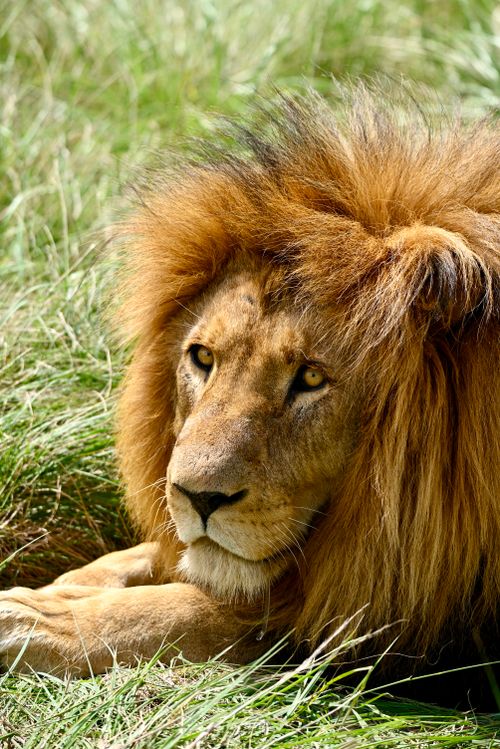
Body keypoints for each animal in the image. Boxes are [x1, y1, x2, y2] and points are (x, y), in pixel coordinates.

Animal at [0, 85, 498, 704]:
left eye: (310, 378)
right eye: (203, 358)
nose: (197, 498)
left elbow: (201, 611)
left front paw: (41, 620)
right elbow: (153, 560)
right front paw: (60, 586)